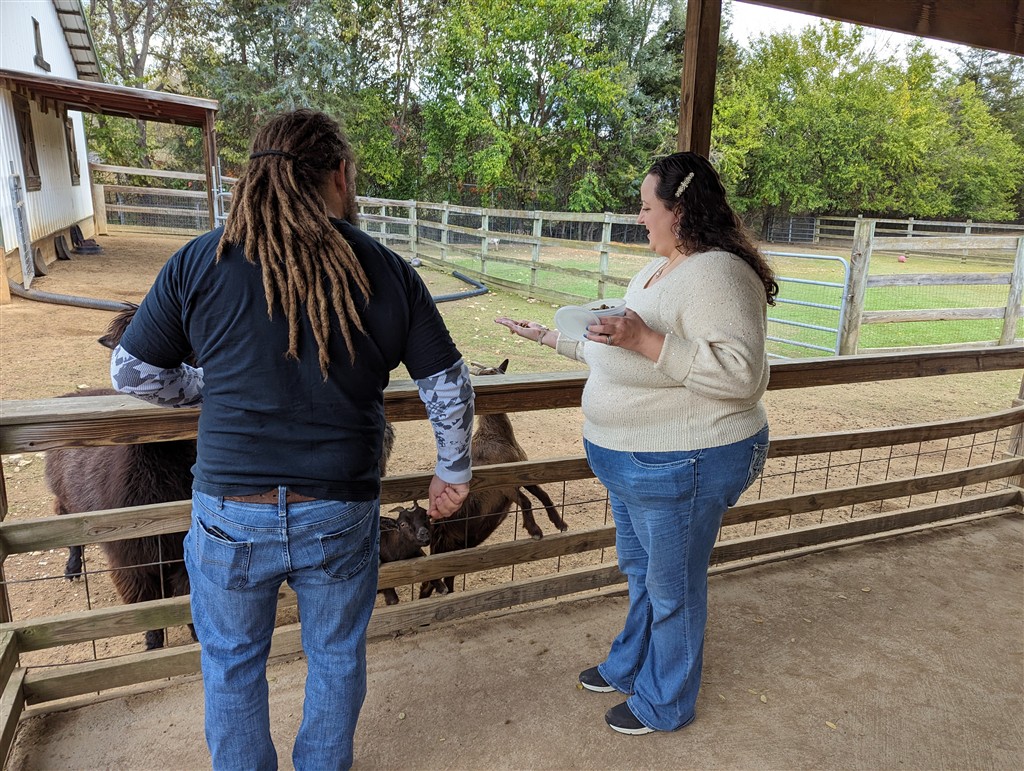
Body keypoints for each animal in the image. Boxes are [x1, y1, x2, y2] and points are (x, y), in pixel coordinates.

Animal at [420, 359, 566, 598]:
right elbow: (526, 501)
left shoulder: (523, 474)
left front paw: (559, 523)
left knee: (442, 579)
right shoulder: (502, 484)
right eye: (489, 375)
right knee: (428, 581)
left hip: (458, 546)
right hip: (444, 547)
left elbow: (543, 495)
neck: (498, 438)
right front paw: (535, 530)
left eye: (500, 372)